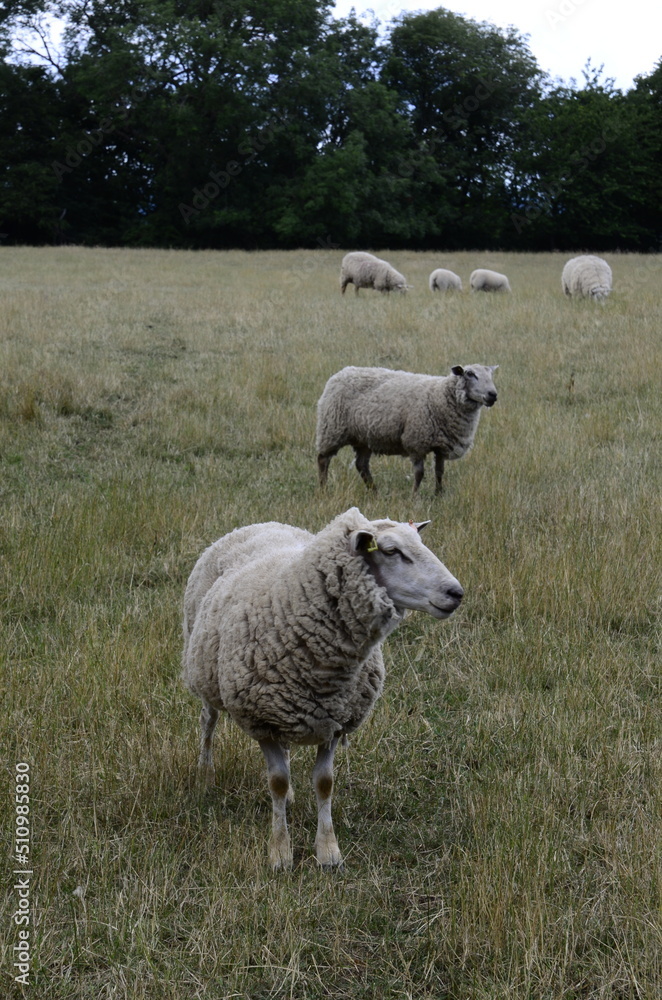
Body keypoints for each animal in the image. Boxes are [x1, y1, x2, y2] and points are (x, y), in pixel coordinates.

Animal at [182, 507, 463, 869]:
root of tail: (263, 523)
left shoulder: (334, 720)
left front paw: (328, 851)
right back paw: (205, 774)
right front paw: (280, 852)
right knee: (208, 722)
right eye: (391, 551)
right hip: (204, 670)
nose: (456, 593)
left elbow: (324, 784)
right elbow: (276, 781)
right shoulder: (261, 721)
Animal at [316, 364, 498, 495]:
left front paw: (439, 495)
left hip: (364, 438)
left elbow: (440, 472)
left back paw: (375, 492)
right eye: (470, 374)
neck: (441, 396)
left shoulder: (441, 445)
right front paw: (414, 496)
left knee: (361, 465)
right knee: (323, 459)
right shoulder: (416, 441)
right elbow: (419, 473)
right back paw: (324, 490)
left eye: (490, 375)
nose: (493, 394)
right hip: (332, 428)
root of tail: (341, 372)